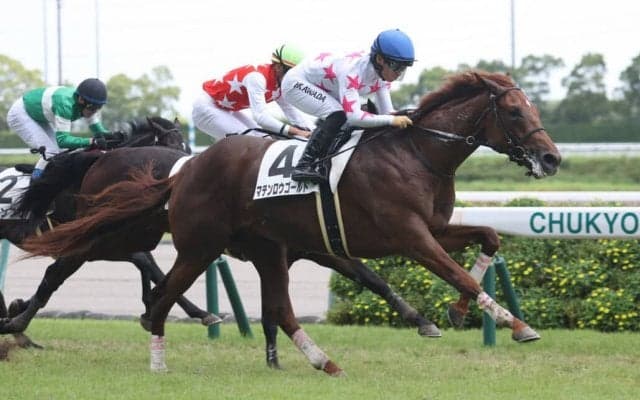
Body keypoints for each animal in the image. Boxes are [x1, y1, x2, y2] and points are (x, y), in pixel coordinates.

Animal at [22, 71, 562, 375]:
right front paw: (516, 324)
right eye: (515, 112)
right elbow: (455, 273)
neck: (416, 153)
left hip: (257, 248)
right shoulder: (406, 236)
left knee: (265, 309)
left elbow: (486, 239)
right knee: (144, 292)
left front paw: (453, 313)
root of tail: (183, 171)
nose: (552, 158)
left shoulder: (427, 229)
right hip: (189, 243)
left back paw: (321, 361)